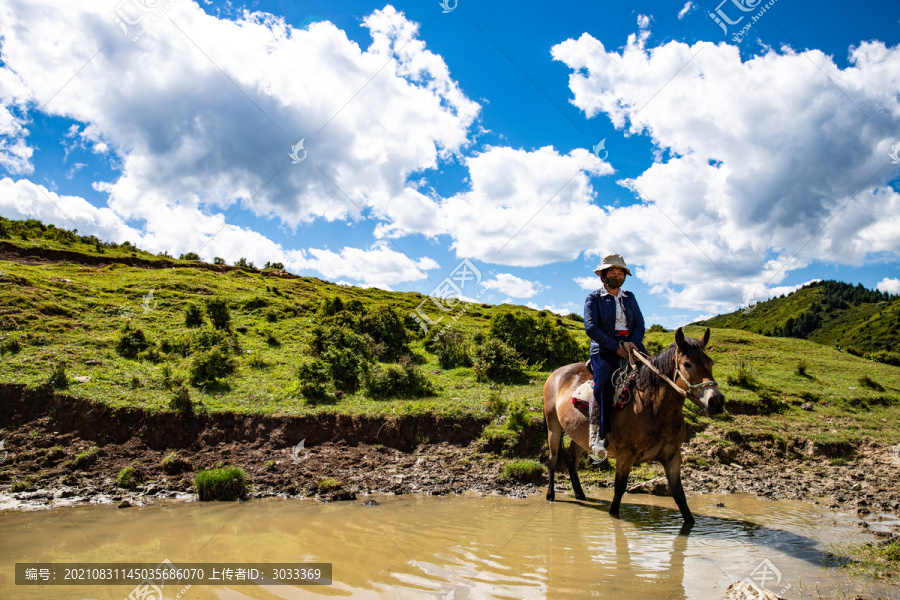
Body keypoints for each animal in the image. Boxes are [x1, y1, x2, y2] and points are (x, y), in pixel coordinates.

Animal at [540, 326, 724, 524]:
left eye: (710, 363)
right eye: (687, 364)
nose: (716, 401)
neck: (653, 407)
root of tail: (558, 372)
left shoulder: (673, 458)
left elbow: (680, 497)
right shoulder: (625, 455)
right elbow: (619, 491)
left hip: (579, 434)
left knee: (571, 459)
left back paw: (580, 495)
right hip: (553, 426)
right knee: (552, 459)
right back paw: (550, 495)